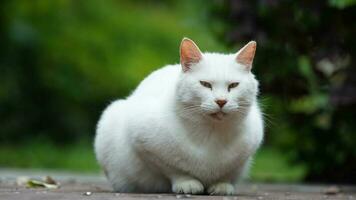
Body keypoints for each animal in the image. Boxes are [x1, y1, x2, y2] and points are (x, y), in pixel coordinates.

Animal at [94, 38, 264, 195]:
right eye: (205, 84)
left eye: (234, 85)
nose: (221, 101)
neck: (211, 133)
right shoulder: (145, 145)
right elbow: (173, 169)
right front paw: (187, 183)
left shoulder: (245, 153)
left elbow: (228, 172)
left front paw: (222, 185)